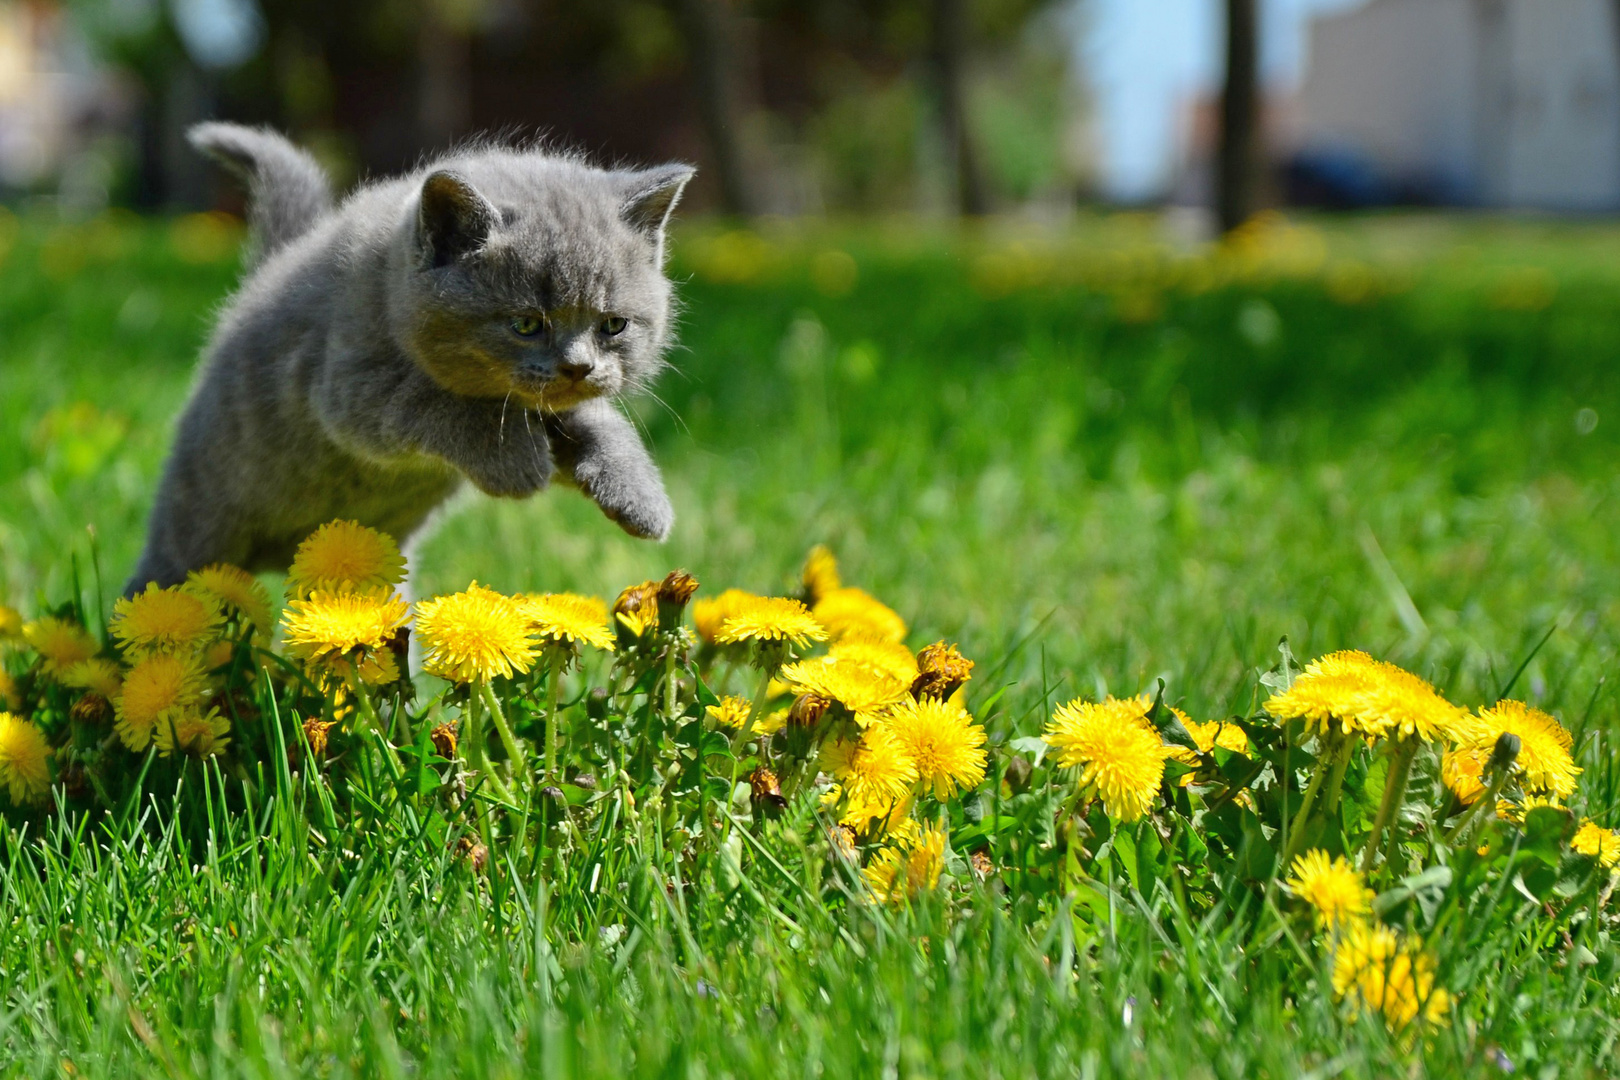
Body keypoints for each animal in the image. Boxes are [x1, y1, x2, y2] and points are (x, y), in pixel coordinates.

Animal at [123, 127, 686, 599]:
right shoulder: (347, 387)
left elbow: (594, 421)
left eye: (612, 325)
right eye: (527, 324)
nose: (578, 367)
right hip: (197, 521)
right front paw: (514, 459)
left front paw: (638, 493)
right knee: (159, 578)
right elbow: (434, 401)